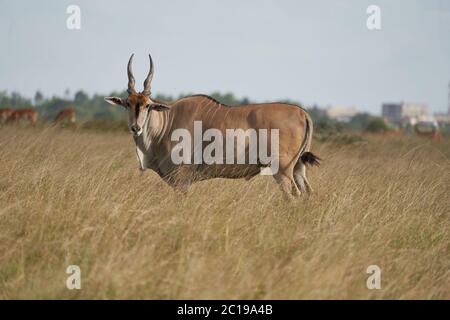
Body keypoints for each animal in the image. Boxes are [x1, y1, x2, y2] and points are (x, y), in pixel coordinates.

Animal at [104, 53, 320, 196]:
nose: (136, 128)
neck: (166, 123)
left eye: (148, 105)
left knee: (293, 195)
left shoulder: (181, 181)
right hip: (298, 168)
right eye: (128, 103)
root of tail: (302, 112)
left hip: (282, 170)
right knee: (307, 193)